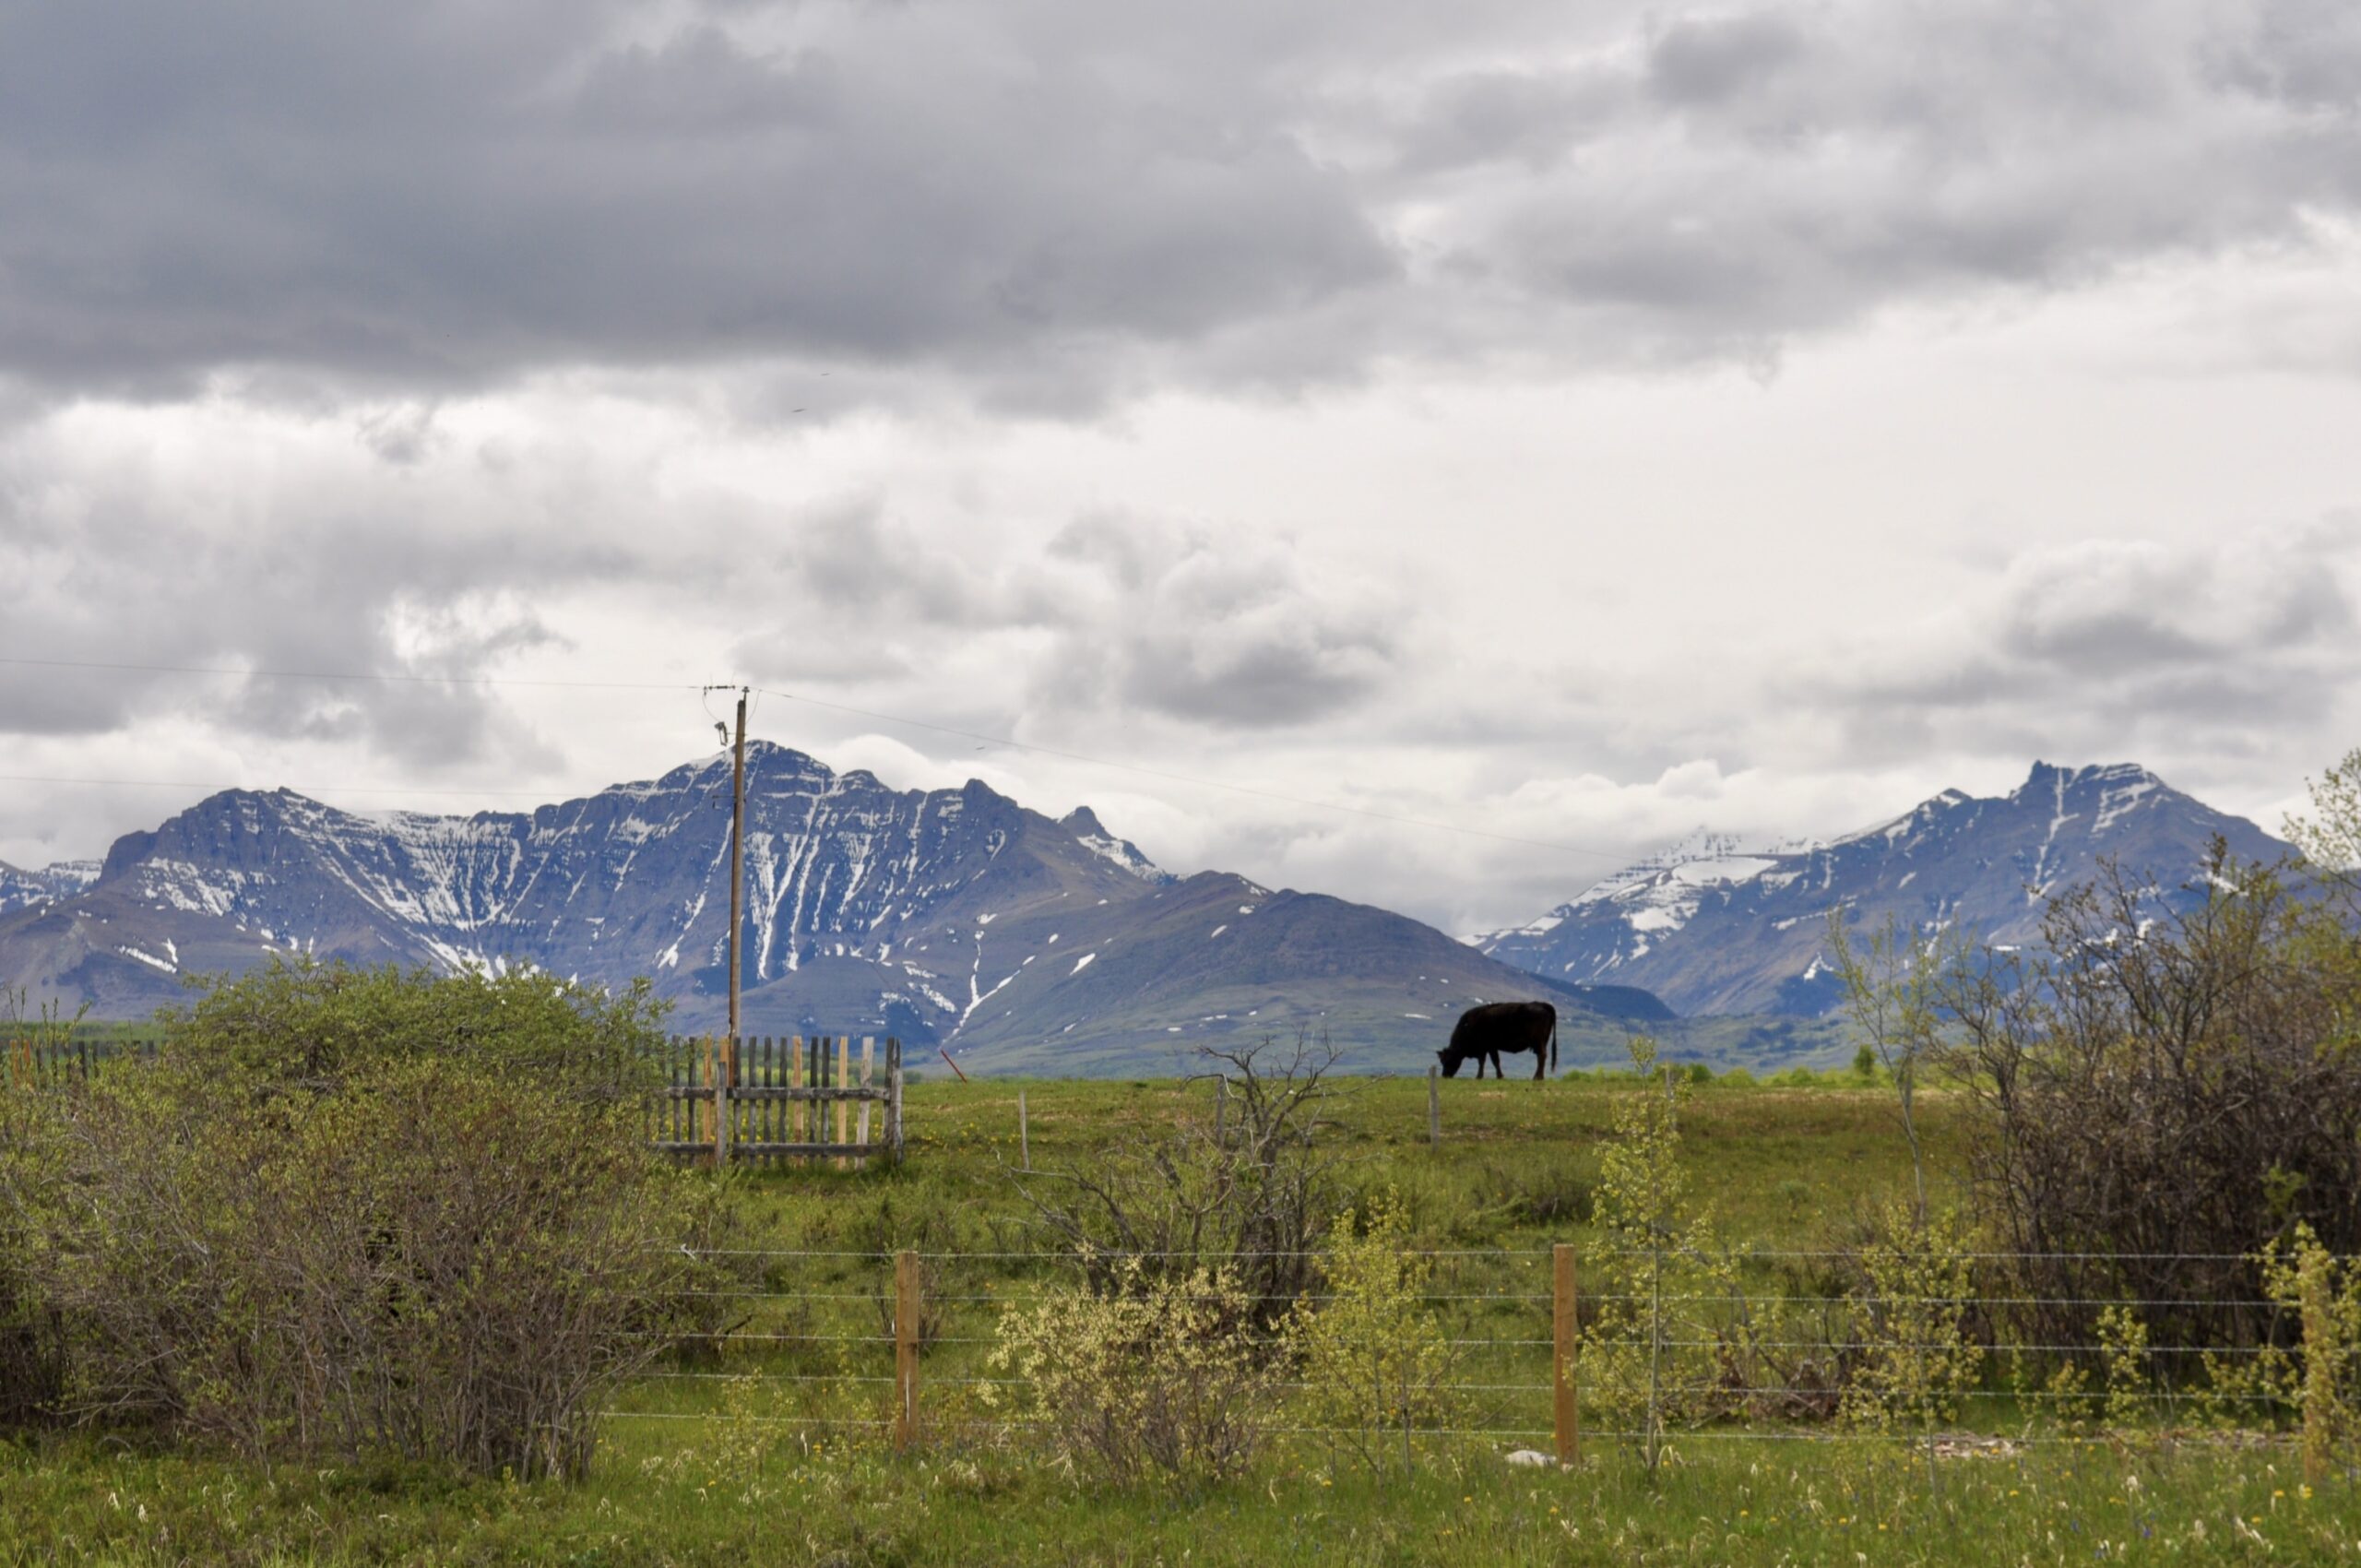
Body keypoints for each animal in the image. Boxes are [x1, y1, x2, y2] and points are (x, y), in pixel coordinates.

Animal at [1426, 1005, 1558, 1076]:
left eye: (1447, 1060)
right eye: (1441, 1061)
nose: (1445, 1075)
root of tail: (1542, 1004)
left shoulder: (1485, 1047)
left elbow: (1485, 1061)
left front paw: (1479, 1076)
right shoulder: (1491, 1047)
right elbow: (1495, 1062)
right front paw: (1499, 1076)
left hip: (1538, 1041)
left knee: (1542, 1056)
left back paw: (1537, 1078)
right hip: (1542, 1042)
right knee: (1541, 1057)